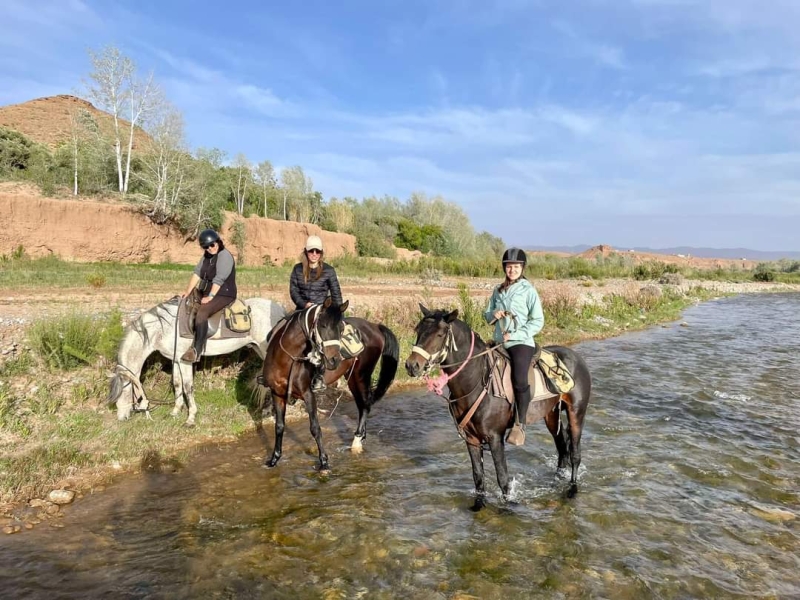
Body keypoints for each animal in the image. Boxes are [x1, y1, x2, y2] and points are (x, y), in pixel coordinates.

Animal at [260, 298, 400, 472]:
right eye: (323, 325)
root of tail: (374, 326)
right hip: (352, 378)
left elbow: (315, 428)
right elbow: (279, 426)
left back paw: (356, 443)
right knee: (362, 405)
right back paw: (361, 438)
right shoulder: (277, 393)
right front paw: (274, 459)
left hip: (361, 375)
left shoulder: (308, 394)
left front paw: (324, 462)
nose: (334, 360)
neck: (286, 359)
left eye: (341, 328)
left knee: (365, 405)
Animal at [406, 308, 588, 508]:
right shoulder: (471, 439)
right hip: (551, 415)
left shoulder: (495, 438)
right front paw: (478, 505)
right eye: (418, 330)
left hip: (576, 413)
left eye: (439, 334)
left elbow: (503, 478)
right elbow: (478, 477)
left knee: (575, 454)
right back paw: (555, 484)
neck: (476, 381)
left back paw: (572, 490)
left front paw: (508, 507)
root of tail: (576, 357)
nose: (411, 365)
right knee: (562, 448)